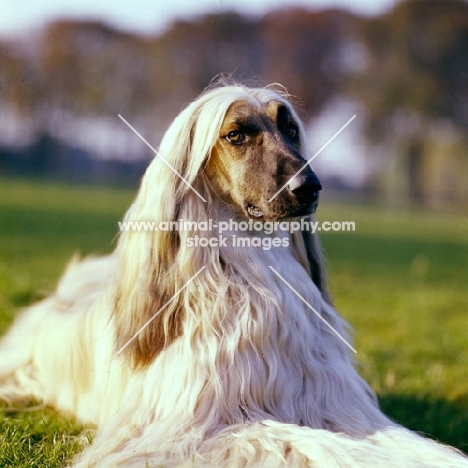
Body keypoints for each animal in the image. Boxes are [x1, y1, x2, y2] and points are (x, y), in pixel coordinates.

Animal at [0, 81, 468, 468]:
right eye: (236, 135)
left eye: (290, 129)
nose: (309, 188)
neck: (257, 271)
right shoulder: (196, 427)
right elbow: (306, 443)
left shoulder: (335, 405)